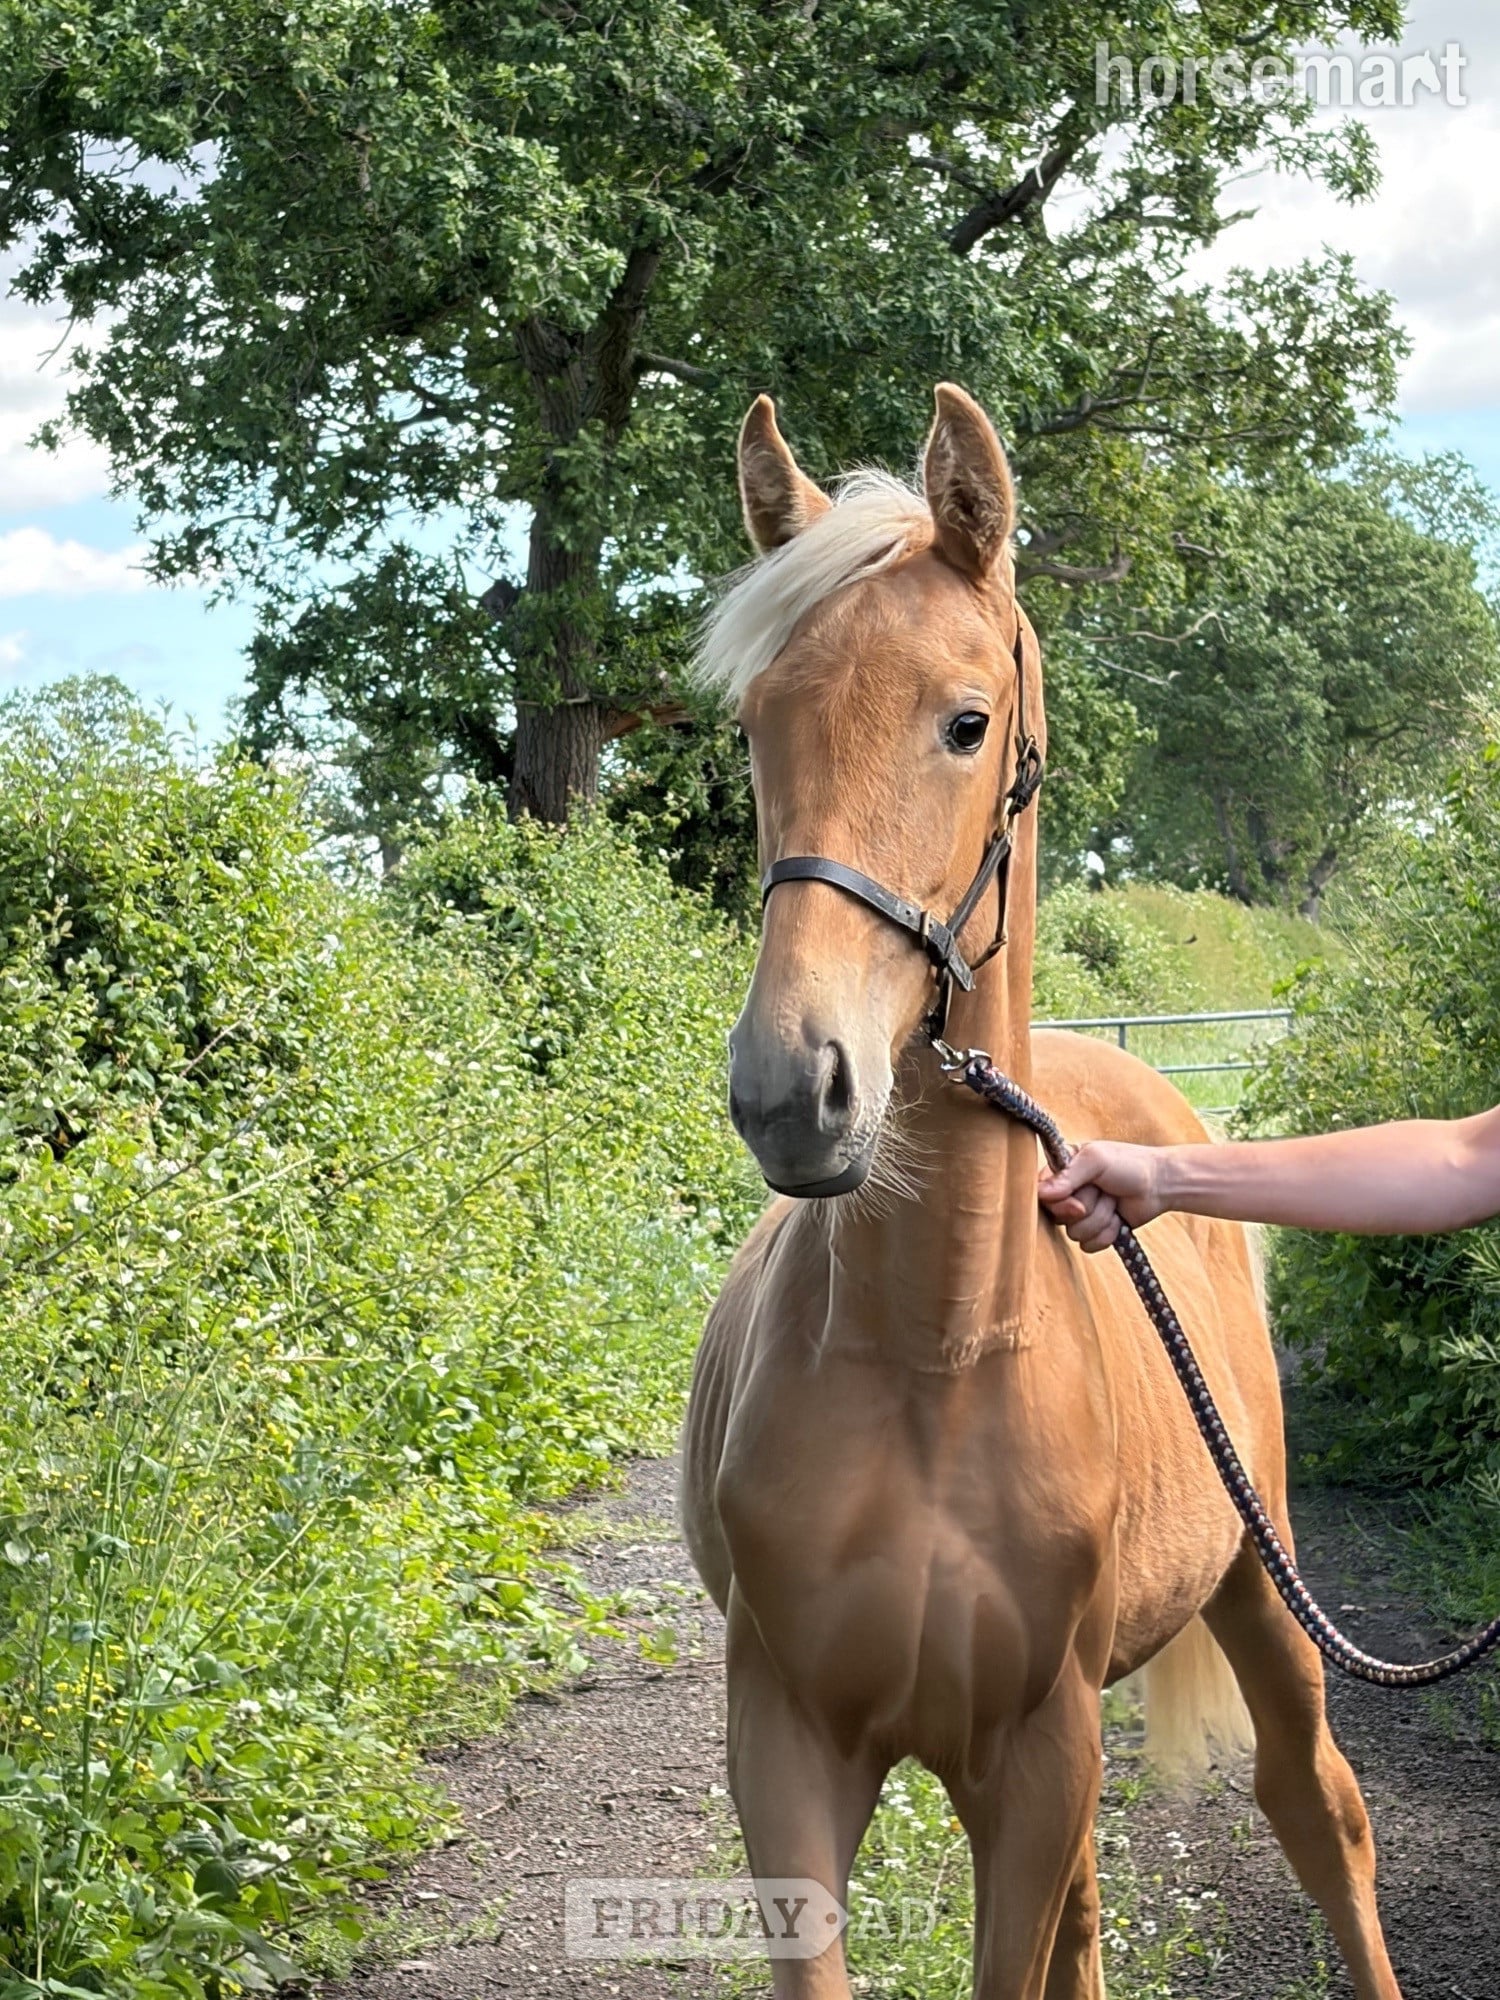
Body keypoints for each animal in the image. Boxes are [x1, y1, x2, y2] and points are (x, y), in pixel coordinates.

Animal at [679, 384, 1402, 2000]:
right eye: (754, 730)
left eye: (966, 722)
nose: (791, 1089)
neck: (934, 1359)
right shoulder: (789, 1749)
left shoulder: (1037, 1743)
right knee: (1087, 1908)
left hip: (1261, 1591)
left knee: (1319, 1810)